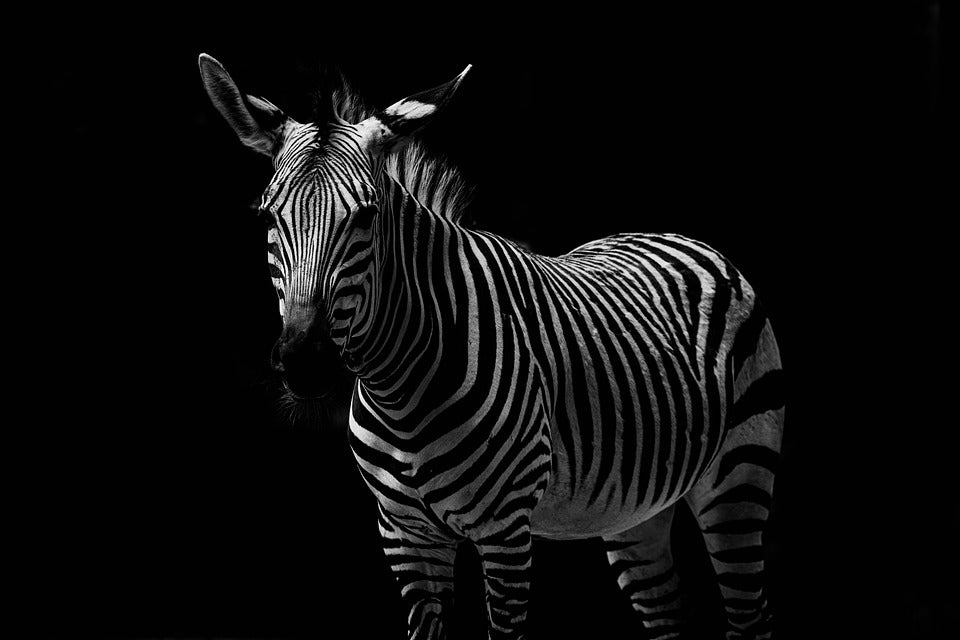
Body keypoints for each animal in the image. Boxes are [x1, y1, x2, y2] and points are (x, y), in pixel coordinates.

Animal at [199, 54, 786, 640]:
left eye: (367, 216)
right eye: (266, 216)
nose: (305, 362)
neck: (399, 387)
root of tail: (677, 235)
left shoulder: (504, 532)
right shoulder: (405, 537)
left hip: (738, 478)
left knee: (749, 616)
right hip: (637, 507)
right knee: (669, 616)